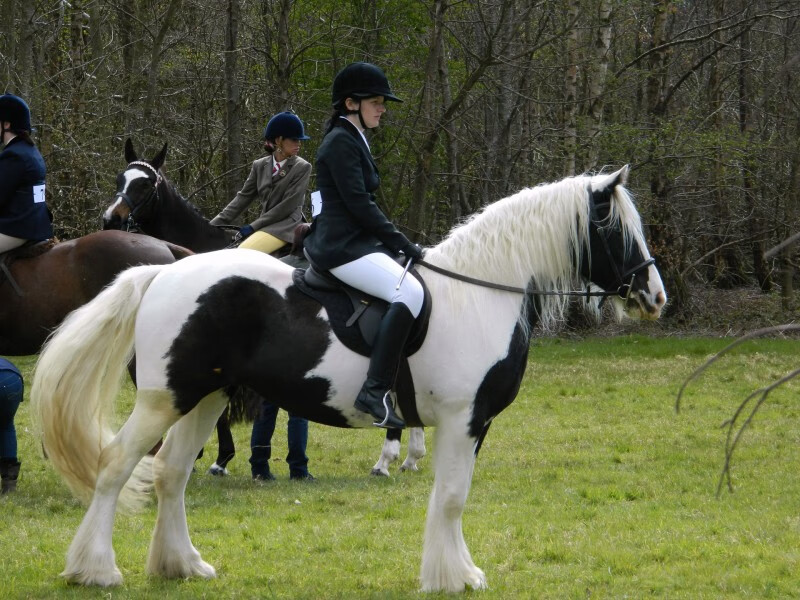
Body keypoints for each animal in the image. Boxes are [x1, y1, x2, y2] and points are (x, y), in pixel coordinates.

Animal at [31, 164, 664, 592]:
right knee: (117, 467)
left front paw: (454, 570)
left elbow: (450, 495)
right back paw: (95, 570)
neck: (478, 293)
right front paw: (451, 577)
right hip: (166, 399)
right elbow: (452, 497)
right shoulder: (464, 419)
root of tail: (160, 272)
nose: (655, 296)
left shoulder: (466, 424)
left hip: (204, 398)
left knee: (170, 474)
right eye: (616, 231)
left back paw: (181, 565)